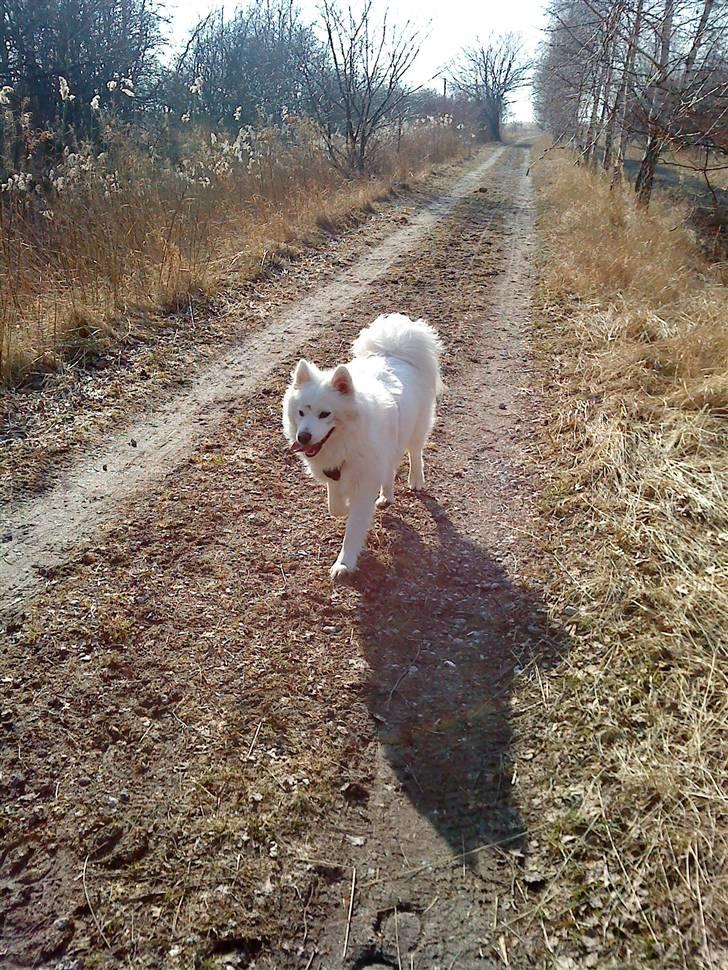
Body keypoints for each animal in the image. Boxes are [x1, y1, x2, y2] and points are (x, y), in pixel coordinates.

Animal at [282, 314, 444, 580]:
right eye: (301, 412)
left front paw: (344, 564)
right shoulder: (336, 471)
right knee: (389, 469)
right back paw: (386, 496)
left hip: (415, 429)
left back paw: (415, 479)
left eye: (325, 414)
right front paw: (342, 507)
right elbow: (335, 505)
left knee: (415, 453)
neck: (345, 440)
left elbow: (354, 528)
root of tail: (395, 351)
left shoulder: (364, 482)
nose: (303, 437)